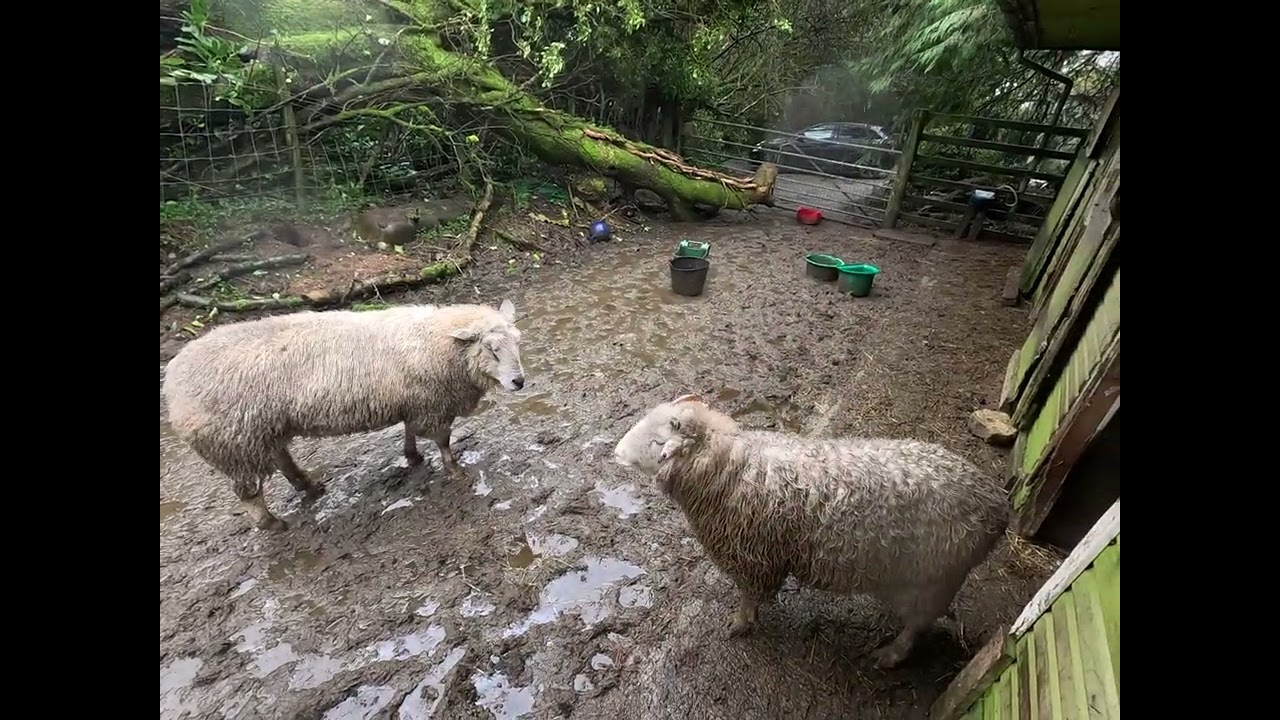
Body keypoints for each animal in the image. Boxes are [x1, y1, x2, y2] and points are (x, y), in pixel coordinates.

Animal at [161, 299, 526, 532]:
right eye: (491, 349)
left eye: (518, 342)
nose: (519, 382)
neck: (437, 340)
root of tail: (173, 381)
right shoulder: (433, 404)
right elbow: (443, 441)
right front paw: (454, 469)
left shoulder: (415, 401)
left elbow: (409, 431)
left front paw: (412, 457)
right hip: (235, 442)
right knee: (249, 494)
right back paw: (273, 524)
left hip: (263, 432)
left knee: (282, 460)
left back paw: (309, 487)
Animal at [612, 393, 1008, 669]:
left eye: (657, 442)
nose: (615, 452)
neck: (730, 468)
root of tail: (996, 506)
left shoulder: (753, 560)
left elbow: (748, 597)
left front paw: (740, 623)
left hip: (930, 579)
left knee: (918, 625)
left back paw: (890, 655)